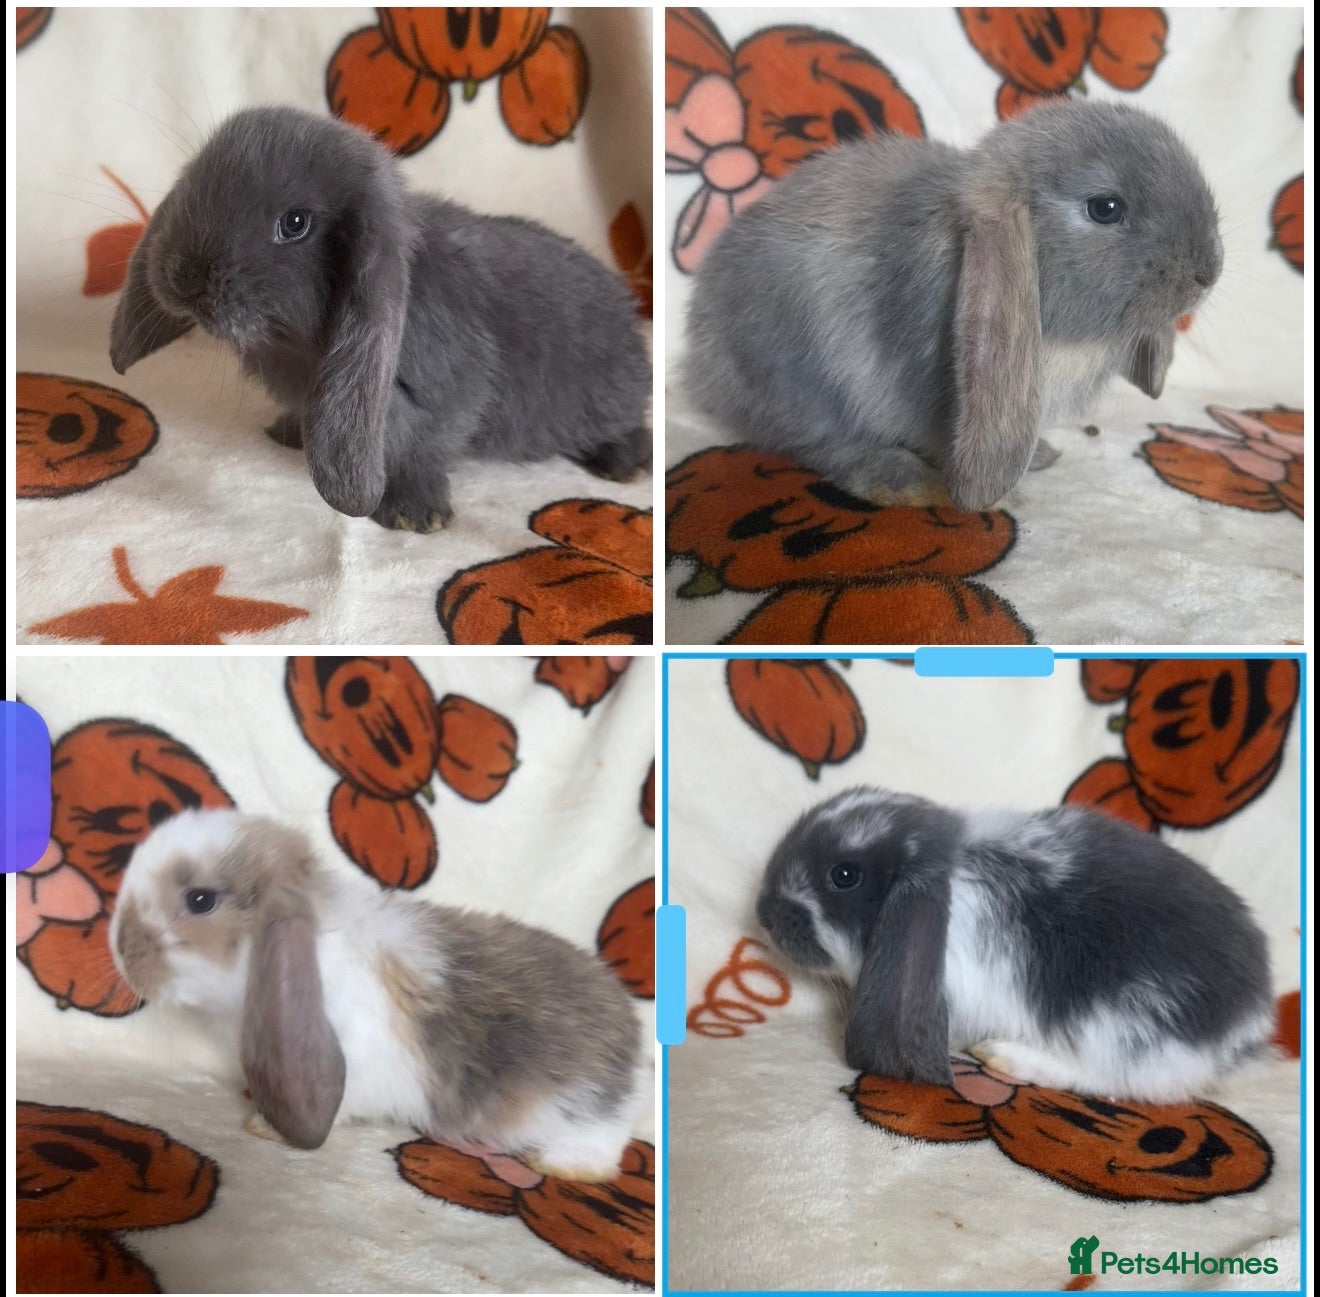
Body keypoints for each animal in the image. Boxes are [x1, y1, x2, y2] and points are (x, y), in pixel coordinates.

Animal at [108, 809, 646, 1180]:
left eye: (200, 900)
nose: (118, 947)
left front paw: (264, 1125)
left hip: (583, 1105)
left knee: (606, 1135)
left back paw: (563, 1164)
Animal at [109, 106, 651, 532]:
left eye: (295, 224)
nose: (184, 276)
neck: (292, 347)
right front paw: (289, 434)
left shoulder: (443, 396)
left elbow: (423, 446)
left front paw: (415, 515)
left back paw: (626, 465)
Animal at [685, 100, 1222, 511]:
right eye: (1105, 208)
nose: (1208, 271)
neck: (1067, 341)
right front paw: (1002, 499)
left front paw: (1038, 456)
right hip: (803, 375)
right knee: (817, 440)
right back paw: (897, 477)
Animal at [755, 787, 1274, 1102]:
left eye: (844, 875)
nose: (762, 914)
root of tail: (1247, 1016)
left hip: (1119, 1030)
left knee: (1117, 1080)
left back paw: (1005, 1056)